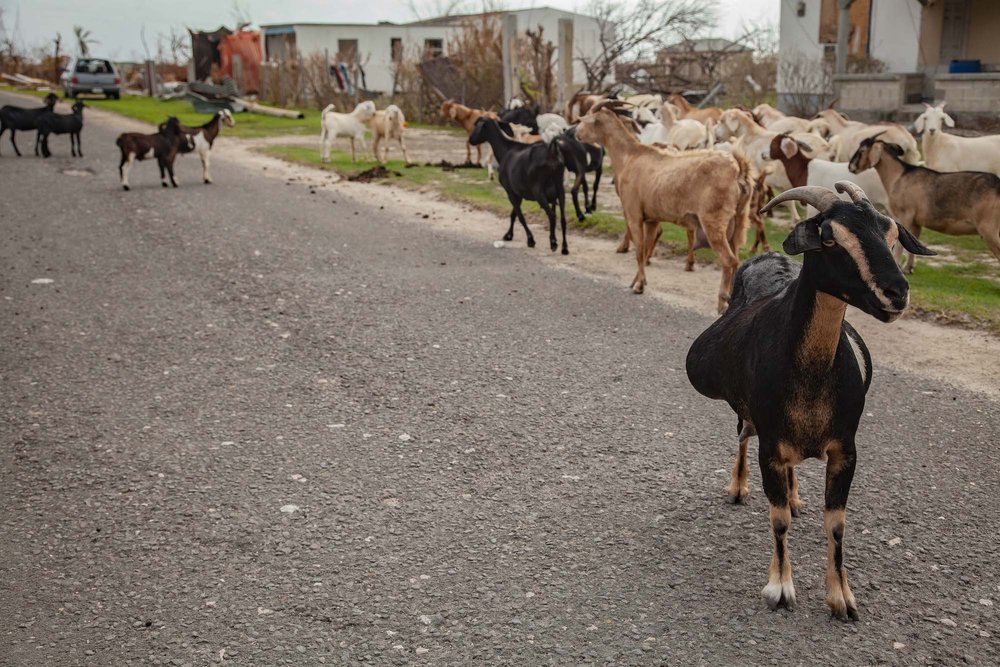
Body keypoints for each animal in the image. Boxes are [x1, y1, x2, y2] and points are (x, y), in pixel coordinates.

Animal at [468, 117, 572, 256]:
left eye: (477, 126)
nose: (471, 140)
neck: (506, 150)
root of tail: (552, 153)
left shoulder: (510, 191)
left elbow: (520, 215)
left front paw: (530, 240)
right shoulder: (519, 192)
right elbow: (514, 214)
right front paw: (508, 235)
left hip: (538, 191)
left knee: (551, 215)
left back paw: (554, 243)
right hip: (560, 190)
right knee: (563, 218)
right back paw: (564, 248)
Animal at [572, 104, 752, 314]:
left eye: (585, 120)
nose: (576, 134)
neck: (629, 156)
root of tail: (738, 171)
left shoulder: (634, 213)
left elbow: (639, 249)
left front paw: (639, 286)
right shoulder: (651, 218)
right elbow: (646, 248)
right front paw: (638, 281)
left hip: (713, 220)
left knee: (729, 259)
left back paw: (722, 303)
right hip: (738, 221)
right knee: (737, 258)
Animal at [684, 181, 932, 620]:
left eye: (891, 234)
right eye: (829, 237)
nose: (896, 292)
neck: (812, 377)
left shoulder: (846, 449)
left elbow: (836, 523)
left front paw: (842, 597)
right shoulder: (770, 445)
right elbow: (779, 518)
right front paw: (780, 588)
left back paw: (796, 493)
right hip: (748, 414)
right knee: (742, 433)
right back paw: (738, 487)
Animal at [848, 134, 1000, 270]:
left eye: (862, 150)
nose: (851, 167)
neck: (899, 176)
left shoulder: (905, 215)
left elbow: (900, 245)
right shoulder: (916, 222)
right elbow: (914, 241)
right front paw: (908, 268)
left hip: (989, 228)